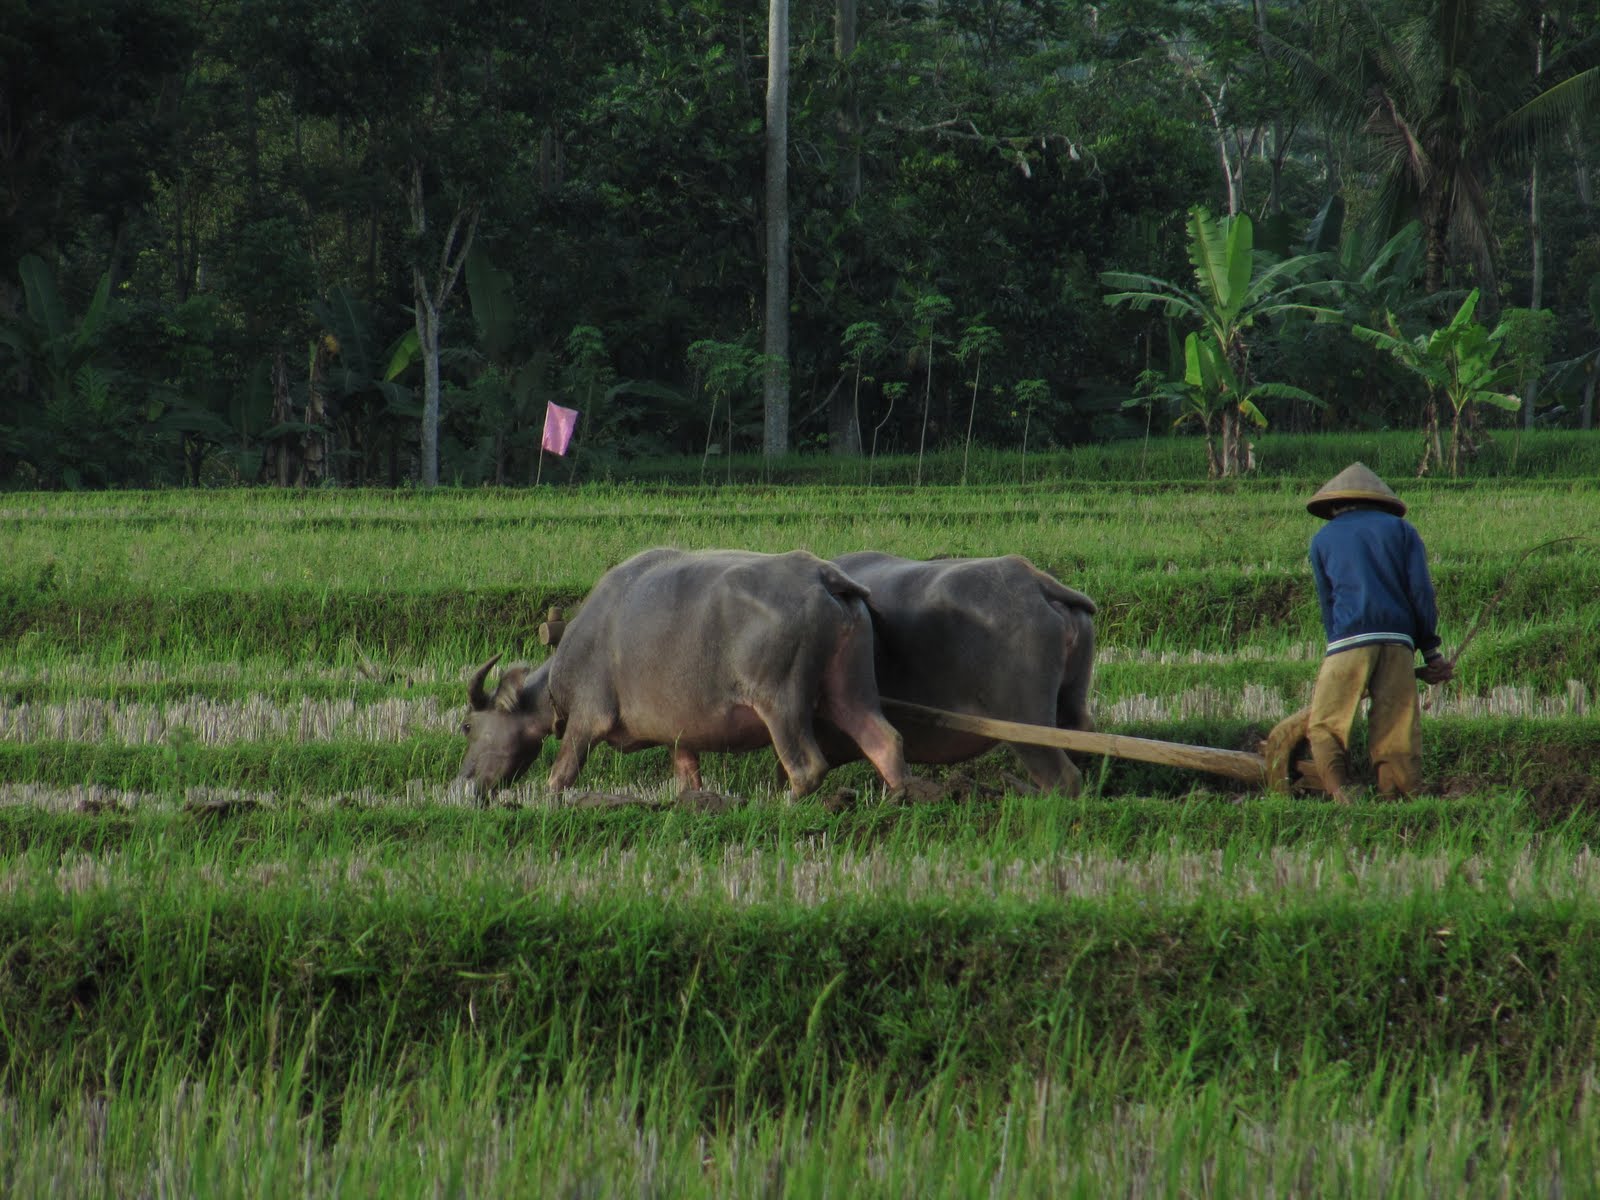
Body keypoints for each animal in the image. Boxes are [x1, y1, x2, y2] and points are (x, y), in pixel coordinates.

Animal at [457, 553, 921, 800]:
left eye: (467, 726)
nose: (464, 782)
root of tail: (826, 576)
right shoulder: (679, 738)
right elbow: (687, 777)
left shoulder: (588, 717)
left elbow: (562, 772)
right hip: (852, 686)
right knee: (884, 739)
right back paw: (897, 798)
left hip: (781, 702)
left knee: (807, 766)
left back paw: (781, 806)